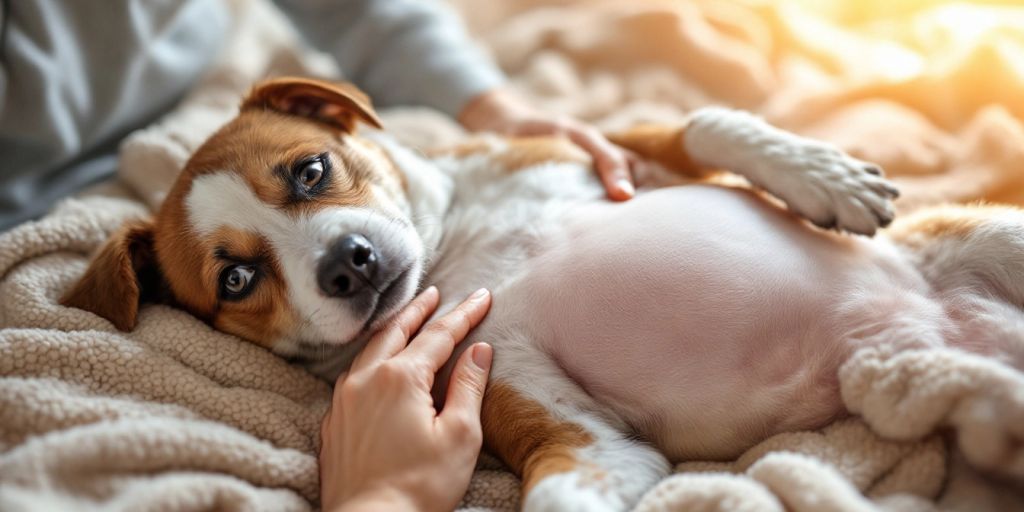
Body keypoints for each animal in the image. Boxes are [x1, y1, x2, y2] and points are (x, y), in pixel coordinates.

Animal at [66, 77, 1024, 509]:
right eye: (236, 278)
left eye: (310, 171)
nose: (349, 264)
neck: (460, 242)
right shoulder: (574, 431)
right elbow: (564, 489)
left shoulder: (614, 156)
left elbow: (701, 123)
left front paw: (822, 177)